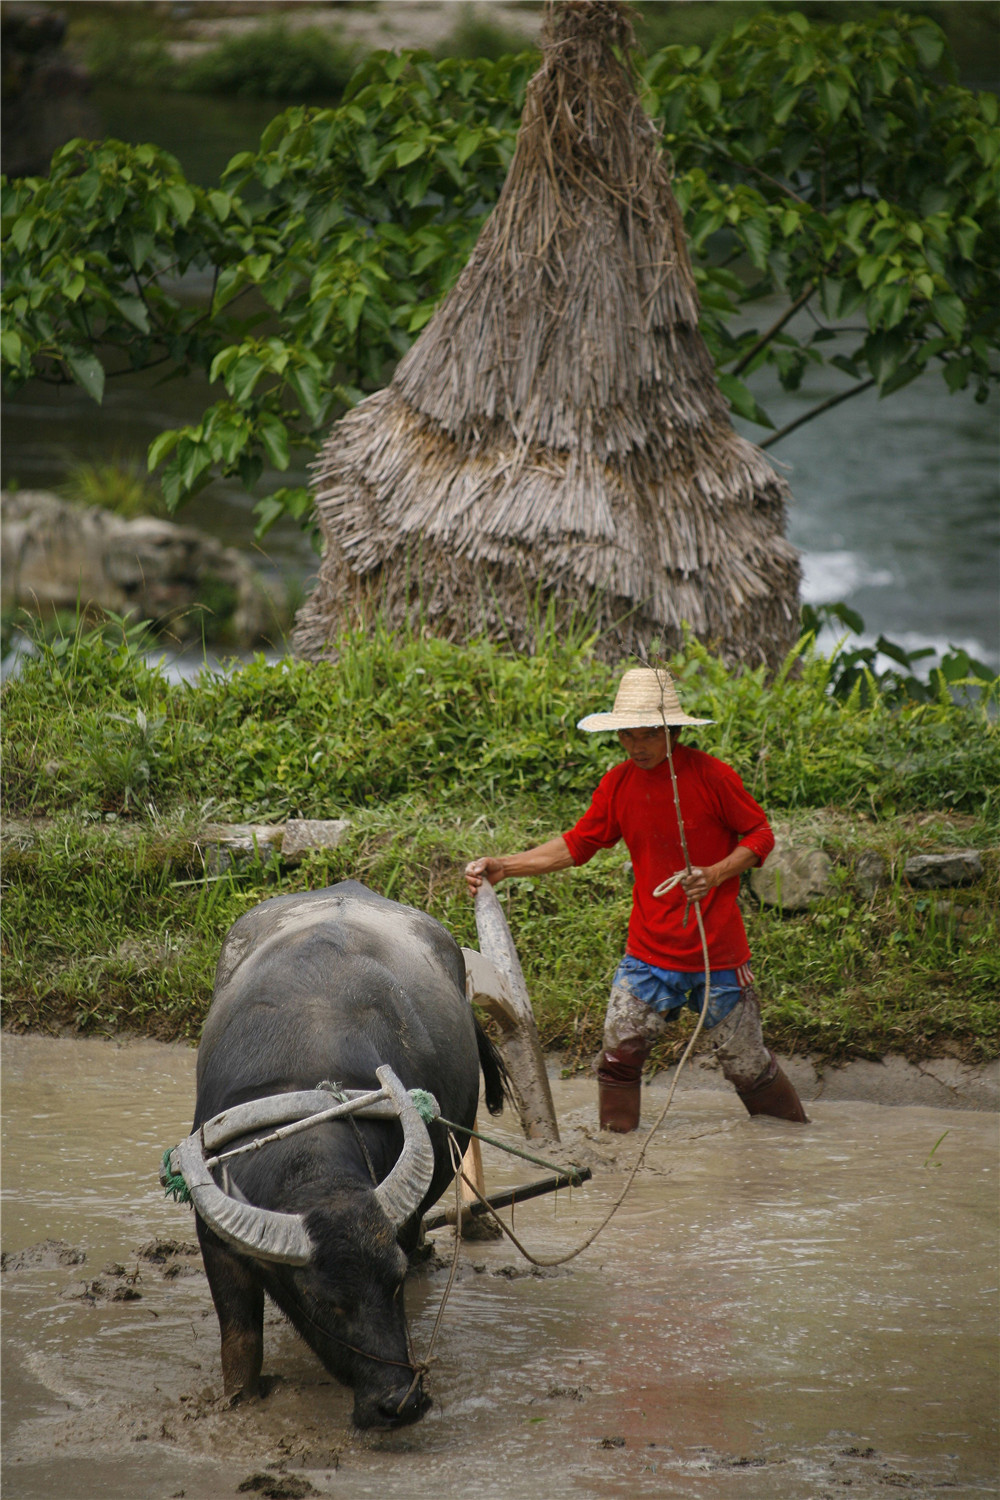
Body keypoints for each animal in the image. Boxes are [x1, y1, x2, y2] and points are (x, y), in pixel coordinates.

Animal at [179, 876, 503, 1428]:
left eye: (394, 1281)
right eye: (323, 1301)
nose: (399, 1402)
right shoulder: (215, 1243)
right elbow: (240, 1341)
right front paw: (239, 1398)